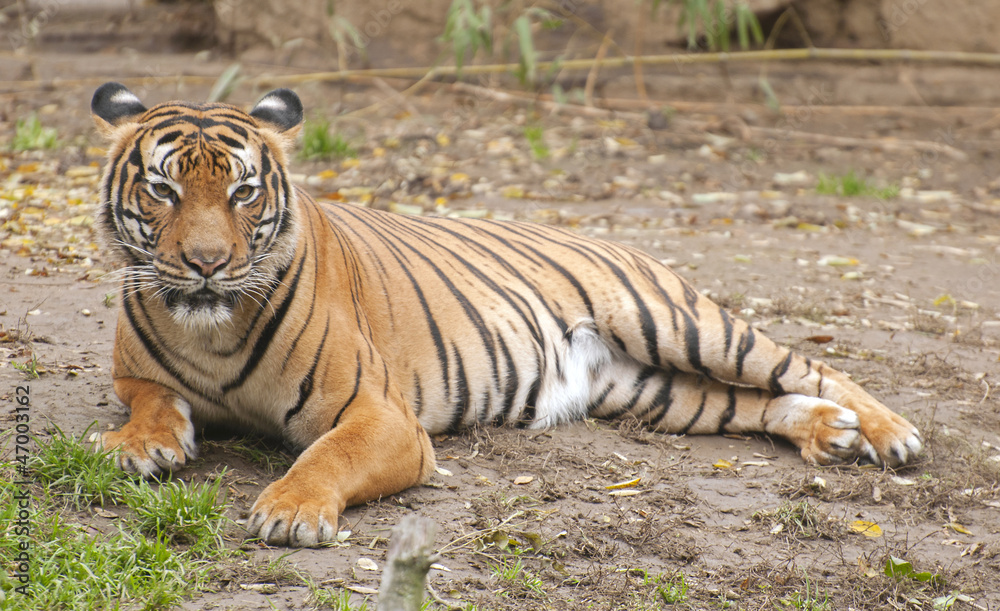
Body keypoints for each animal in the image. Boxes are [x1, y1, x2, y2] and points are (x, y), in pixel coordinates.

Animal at [90, 82, 923, 547]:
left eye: (243, 192)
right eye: (164, 190)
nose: (206, 263)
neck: (212, 326)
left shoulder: (382, 415)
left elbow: (325, 455)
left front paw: (292, 512)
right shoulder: (134, 373)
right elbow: (152, 401)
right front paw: (139, 445)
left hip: (682, 323)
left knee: (810, 363)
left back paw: (889, 433)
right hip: (658, 393)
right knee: (755, 401)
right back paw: (830, 430)